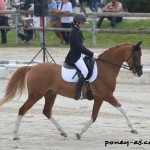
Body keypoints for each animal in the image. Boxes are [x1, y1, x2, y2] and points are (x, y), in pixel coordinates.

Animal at [0, 41, 143, 139]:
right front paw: (133, 128)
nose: (140, 72)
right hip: (35, 95)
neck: (105, 68)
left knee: (47, 111)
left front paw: (80, 133)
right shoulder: (107, 95)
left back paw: (63, 132)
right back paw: (15, 135)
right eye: (137, 56)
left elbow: (94, 116)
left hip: (50, 94)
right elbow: (122, 109)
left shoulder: (99, 98)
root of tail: (33, 67)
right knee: (22, 110)